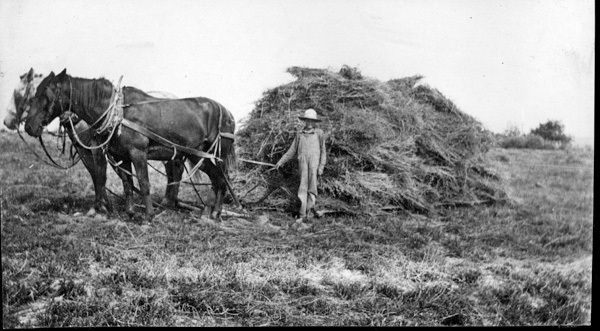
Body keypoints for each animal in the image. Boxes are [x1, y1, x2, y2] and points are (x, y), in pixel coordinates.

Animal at [5, 68, 190, 217]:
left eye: (20, 93)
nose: (27, 126)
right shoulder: (84, 149)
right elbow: (95, 175)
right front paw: (100, 205)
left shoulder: (96, 148)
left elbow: (101, 175)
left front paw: (101, 208)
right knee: (175, 168)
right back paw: (169, 201)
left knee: (175, 169)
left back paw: (168, 201)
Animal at [25, 68, 237, 222]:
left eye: (45, 94)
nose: (28, 126)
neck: (117, 113)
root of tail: (227, 112)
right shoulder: (121, 155)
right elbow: (127, 184)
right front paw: (130, 212)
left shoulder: (137, 152)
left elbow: (143, 183)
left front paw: (148, 216)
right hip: (199, 155)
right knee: (217, 180)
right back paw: (209, 213)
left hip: (215, 155)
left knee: (222, 179)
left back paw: (214, 212)